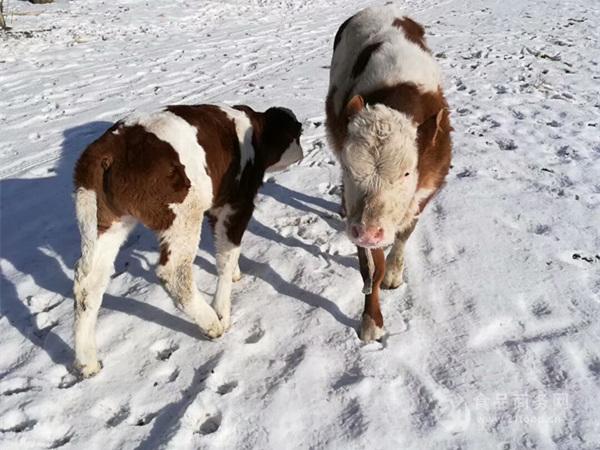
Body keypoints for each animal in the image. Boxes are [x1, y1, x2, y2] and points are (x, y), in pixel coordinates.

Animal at [72, 103, 302, 376]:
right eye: (296, 133)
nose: (301, 149)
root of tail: (106, 148)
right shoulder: (238, 203)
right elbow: (227, 253)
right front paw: (222, 310)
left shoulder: (218, 204)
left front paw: (236, 274)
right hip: (183, 215)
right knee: (174, 273)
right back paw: (211, 324)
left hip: (108, 222)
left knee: (88, 284)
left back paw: (87, 361)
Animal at [326, 6, 452, 342]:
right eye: (348, 167)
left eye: (408, 173)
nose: (369, 232)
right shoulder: (359, 215)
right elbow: (371, 268)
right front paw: (371, 322)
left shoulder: (426, 189)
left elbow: (405, 234)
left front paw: (395, 272)